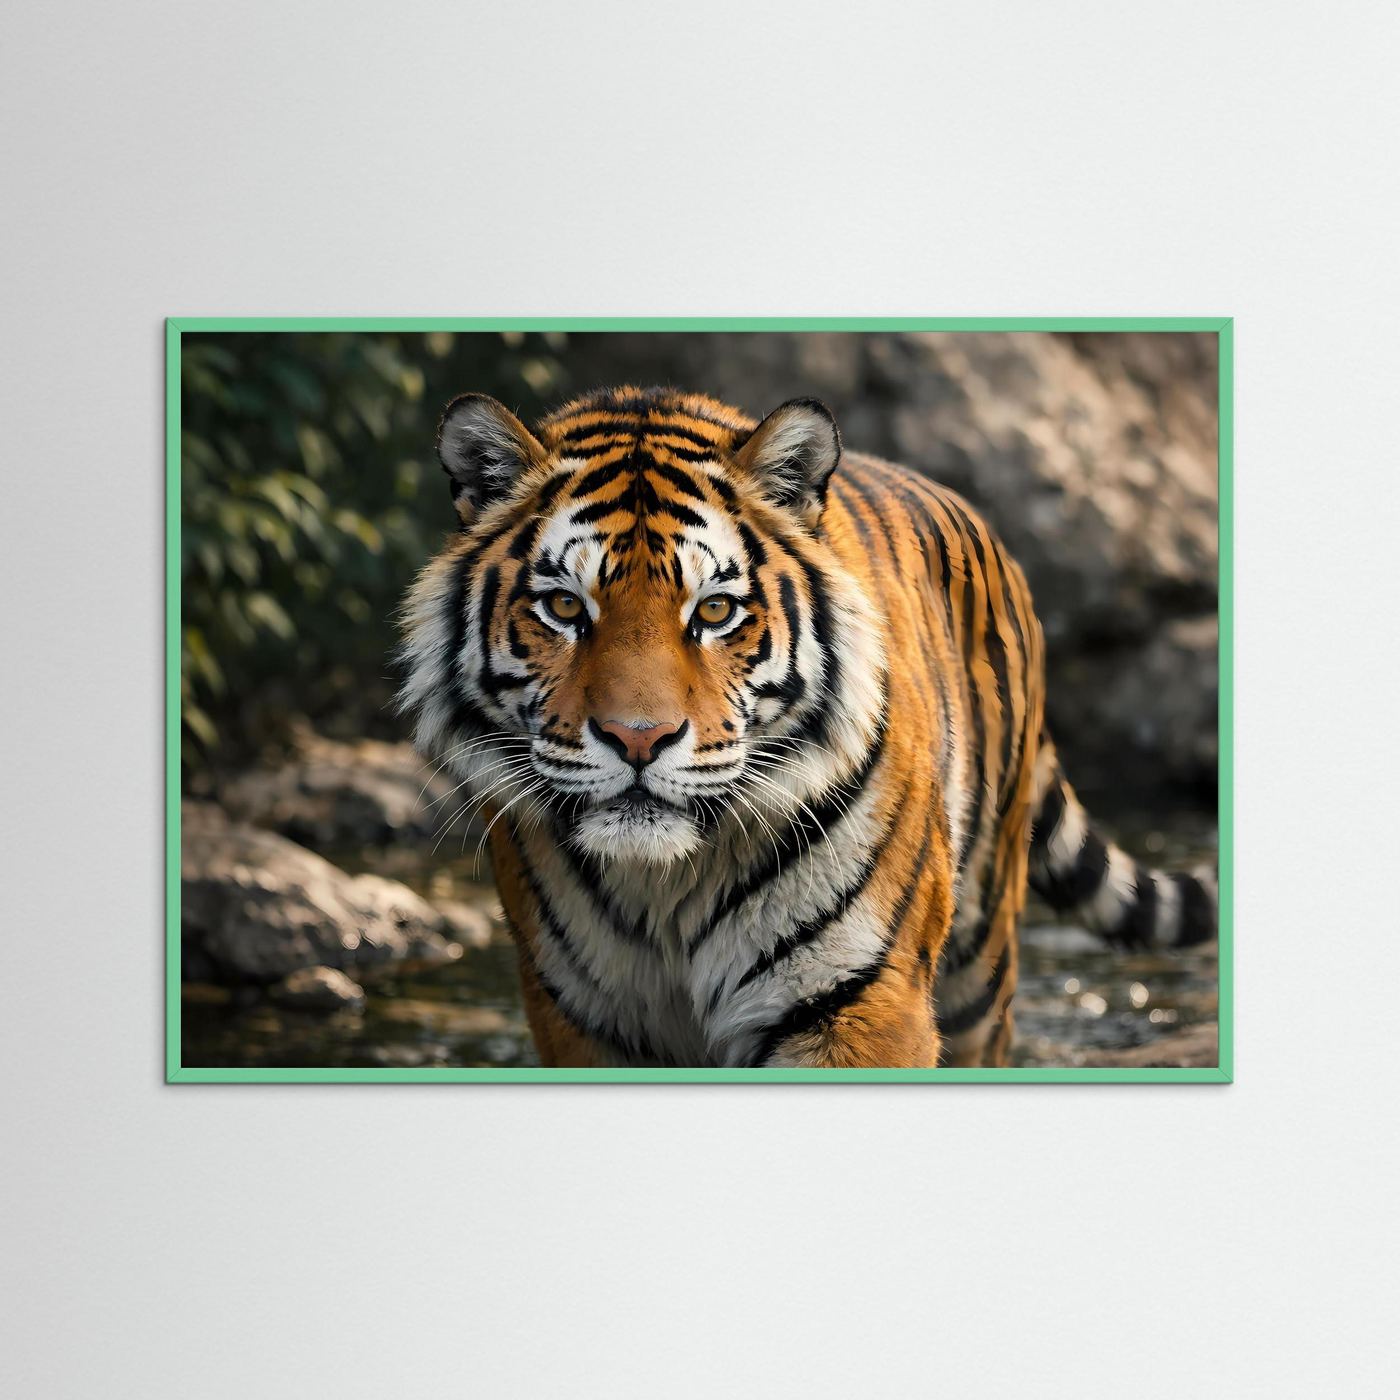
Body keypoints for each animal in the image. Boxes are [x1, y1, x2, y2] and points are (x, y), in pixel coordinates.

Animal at [397, 384, 1218, 1068]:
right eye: (565, 607)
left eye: (714, 611)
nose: (638, 739)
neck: (665, 886)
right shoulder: (579, 1015)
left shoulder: (858, 1001)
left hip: (983, 965)